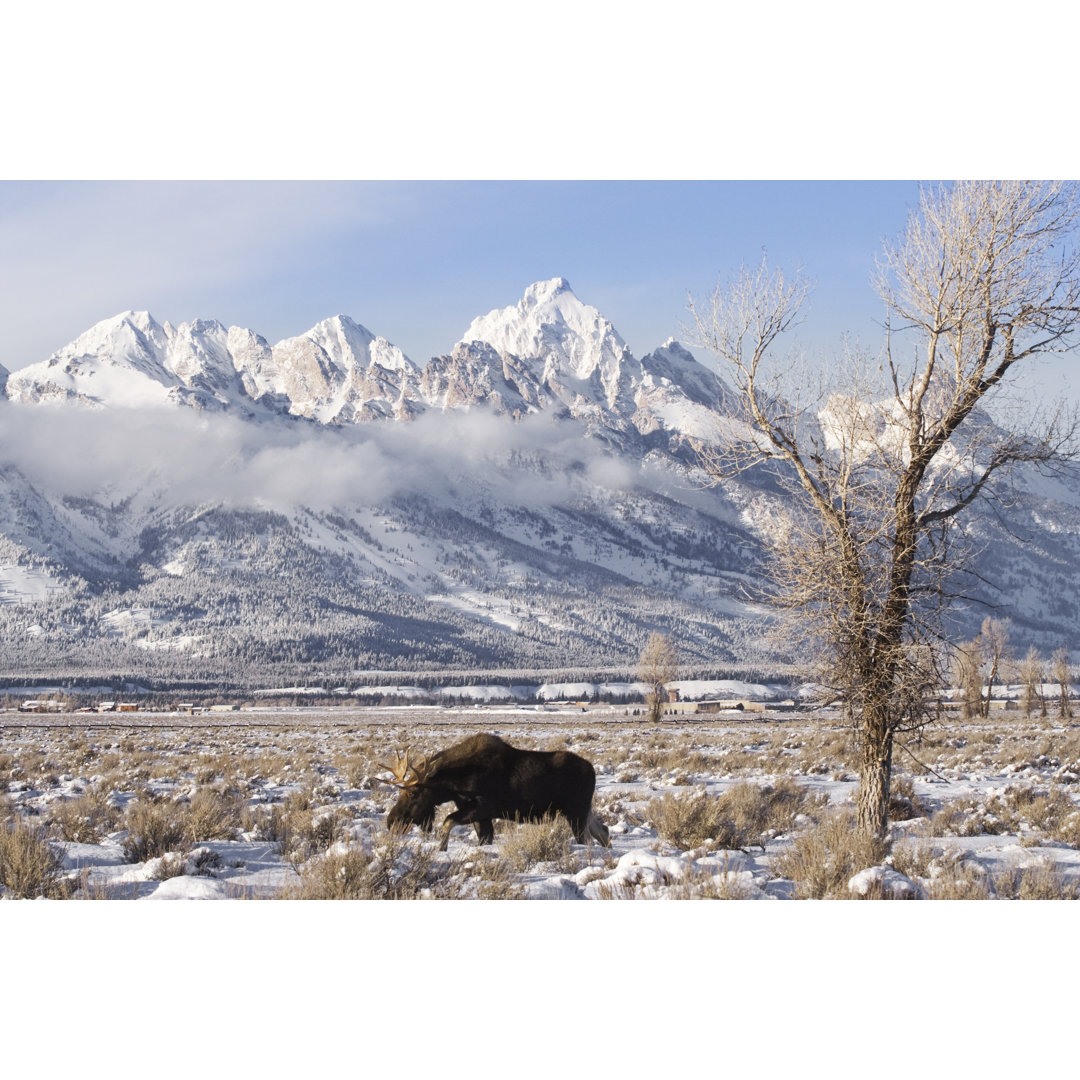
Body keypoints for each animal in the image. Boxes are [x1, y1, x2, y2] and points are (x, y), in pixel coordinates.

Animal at [384, 734, 613, 851]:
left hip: (576, 813)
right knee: (603, 832)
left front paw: (442, 849)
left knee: (589, 841)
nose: (391, 821)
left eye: (413, 793)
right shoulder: (480, 815)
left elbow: (447, 822)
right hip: (583, 811)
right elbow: (483, 839)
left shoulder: (483, 807)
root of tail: (592, 770)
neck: (454, 784)